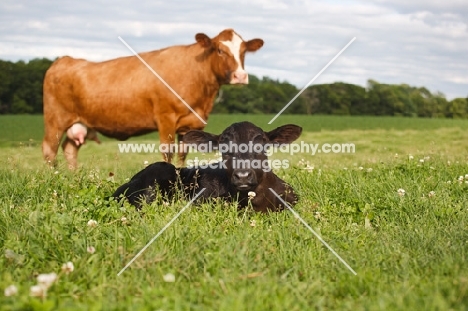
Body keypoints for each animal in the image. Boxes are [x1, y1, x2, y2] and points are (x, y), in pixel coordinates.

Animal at [42, 29, 264, 169]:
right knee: (49, 150)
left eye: (243, 52)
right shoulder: (166, 118)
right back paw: (52, 178)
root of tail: (65, 60)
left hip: (80, 124)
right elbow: (167, 152)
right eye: (219, 50)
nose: (240, 76)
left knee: (69, 149)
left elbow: (182, 154)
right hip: (55, 120)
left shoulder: (188, 125)